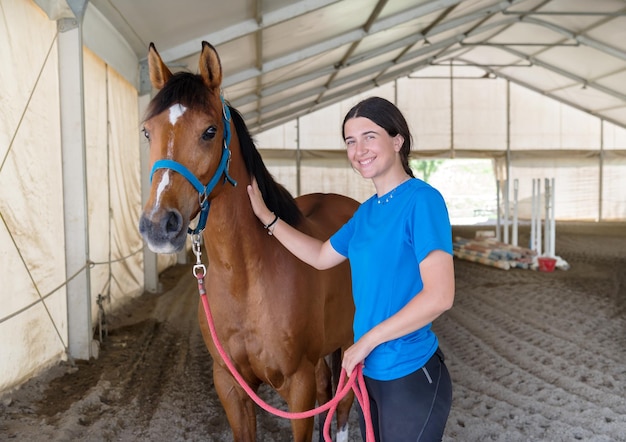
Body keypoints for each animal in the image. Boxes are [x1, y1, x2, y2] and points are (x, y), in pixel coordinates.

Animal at [140, 40, 358, 438]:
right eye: (147, 132)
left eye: (210, 131)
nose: (159, 224)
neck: (246, 279)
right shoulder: (230, 386)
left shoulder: (297, 386)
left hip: (350, 344)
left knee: (344, 407)